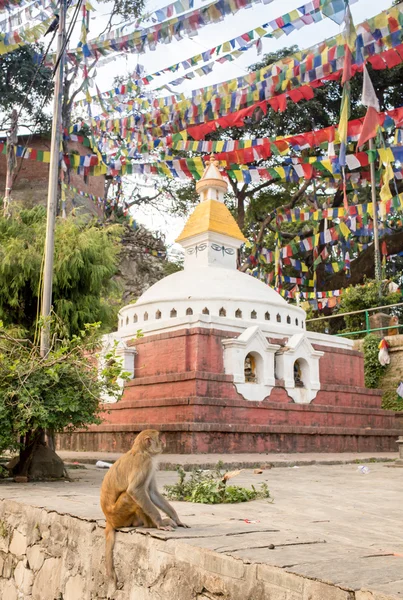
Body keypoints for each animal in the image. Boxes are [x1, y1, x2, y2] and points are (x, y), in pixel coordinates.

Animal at [101, 432, 189, 592]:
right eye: (160, 437)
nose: (164, 442)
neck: (141, 451)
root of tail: (109, 520)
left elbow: (153, 492)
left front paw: (177, 519)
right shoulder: (145, 463)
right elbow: (135, 490)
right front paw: (160, 524)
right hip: (120, 514)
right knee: (130, 494)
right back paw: (151, 525)